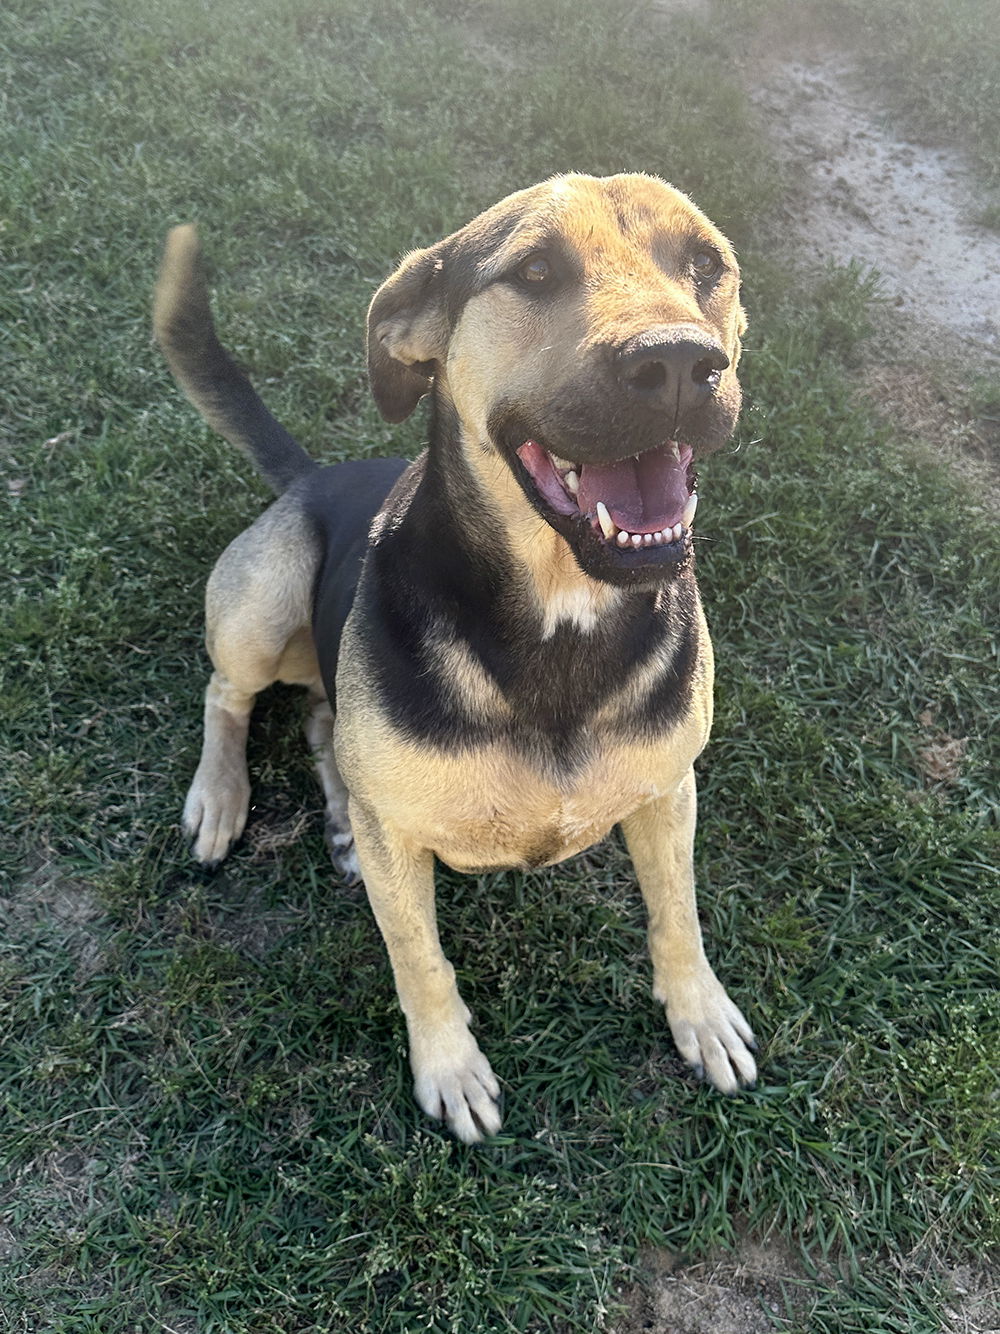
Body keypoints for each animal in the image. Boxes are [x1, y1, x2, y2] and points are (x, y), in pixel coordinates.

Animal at [152, 172, 757, 1141]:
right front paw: (450, 1066)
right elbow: (419, 958)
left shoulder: (669, 788)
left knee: (322, 719)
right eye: (537, 269)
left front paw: (698, 1013)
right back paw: (221, 795)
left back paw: (336, 816)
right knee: (228, 694)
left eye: (706, 263)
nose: (678, 364)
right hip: (264, 597)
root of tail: (311, 475)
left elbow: (678, 910)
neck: (559, 614)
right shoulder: (404, 851)